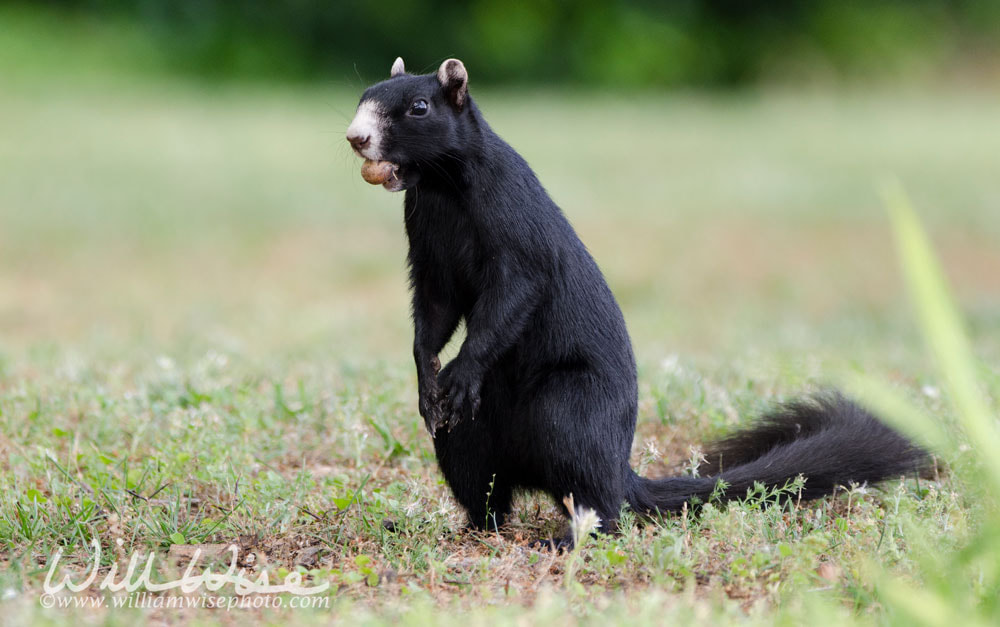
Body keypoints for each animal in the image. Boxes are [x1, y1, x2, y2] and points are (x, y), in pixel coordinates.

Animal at [344, 60, 928, 548]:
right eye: (364, 96)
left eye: (419, 107)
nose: (356, 137)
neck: (444, 193)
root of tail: (620, 471)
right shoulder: (430, 260)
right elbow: (433, 320)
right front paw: (430, 382)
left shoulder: (518, 241)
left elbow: (506, 306)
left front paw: (462, 374)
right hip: (466, 439)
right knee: (490, 497)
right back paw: (462, 527)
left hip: (567, 413)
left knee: (601, 508)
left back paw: (566, 538)